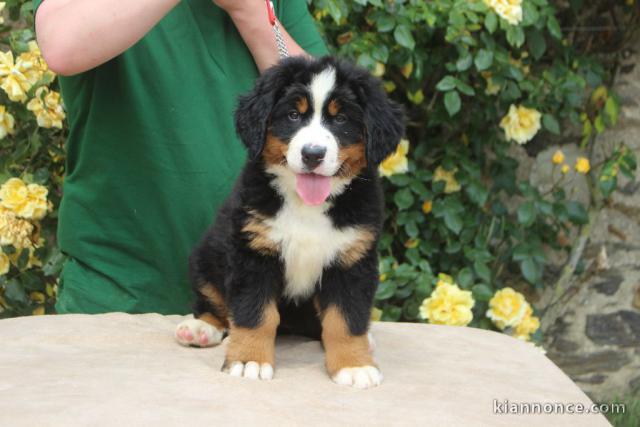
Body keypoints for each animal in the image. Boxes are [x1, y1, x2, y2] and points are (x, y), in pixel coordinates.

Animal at [174, 55, 404, 390]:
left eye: (340, 120)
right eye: (294, 115)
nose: (313, 154)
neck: (307, 205)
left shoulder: (351, 261)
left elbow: (346, 319)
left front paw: (353, 365)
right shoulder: (254, 252)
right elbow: (255, 314)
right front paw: (249, 360)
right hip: (206, 256)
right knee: (214, 303)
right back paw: (200, 329)